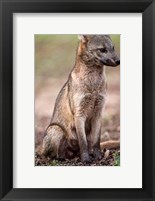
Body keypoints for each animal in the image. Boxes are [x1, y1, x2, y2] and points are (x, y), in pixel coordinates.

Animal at [41, 34, 120, 163]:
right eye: (102, 50)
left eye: (113, 48)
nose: (119, 61)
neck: (93, 85)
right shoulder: (79, 114)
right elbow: (83, 143)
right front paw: (86, 159)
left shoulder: (98, 113)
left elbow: (96, 142)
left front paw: (98, 157)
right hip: (57, 129)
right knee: (52, 155)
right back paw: (61, 158)